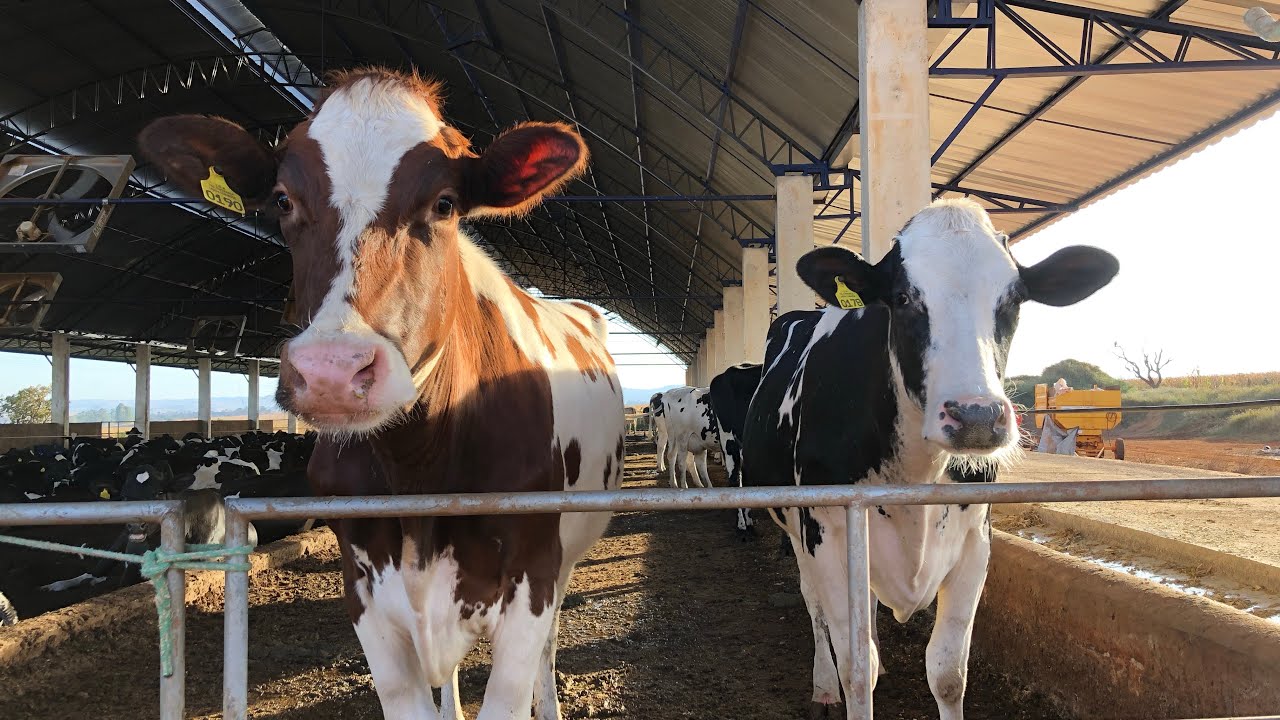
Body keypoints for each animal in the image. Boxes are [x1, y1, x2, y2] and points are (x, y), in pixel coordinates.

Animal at [140, 68, 624, 719]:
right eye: (283, 200)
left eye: (445, 203)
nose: (331, 371)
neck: (419, 469)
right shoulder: (365, 587)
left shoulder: (534, 573)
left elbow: (514, 685)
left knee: (547, 650)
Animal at [741, 199, 1117, 719]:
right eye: (901, 298)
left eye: (1015, 299)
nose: (976, 416)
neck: (916, 470)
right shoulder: (826, 532)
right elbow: (856, 670)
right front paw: (844, 681)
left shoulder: (976, 539)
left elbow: (947, 672)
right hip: (796, 530)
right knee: (814, 605)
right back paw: (822, 685)